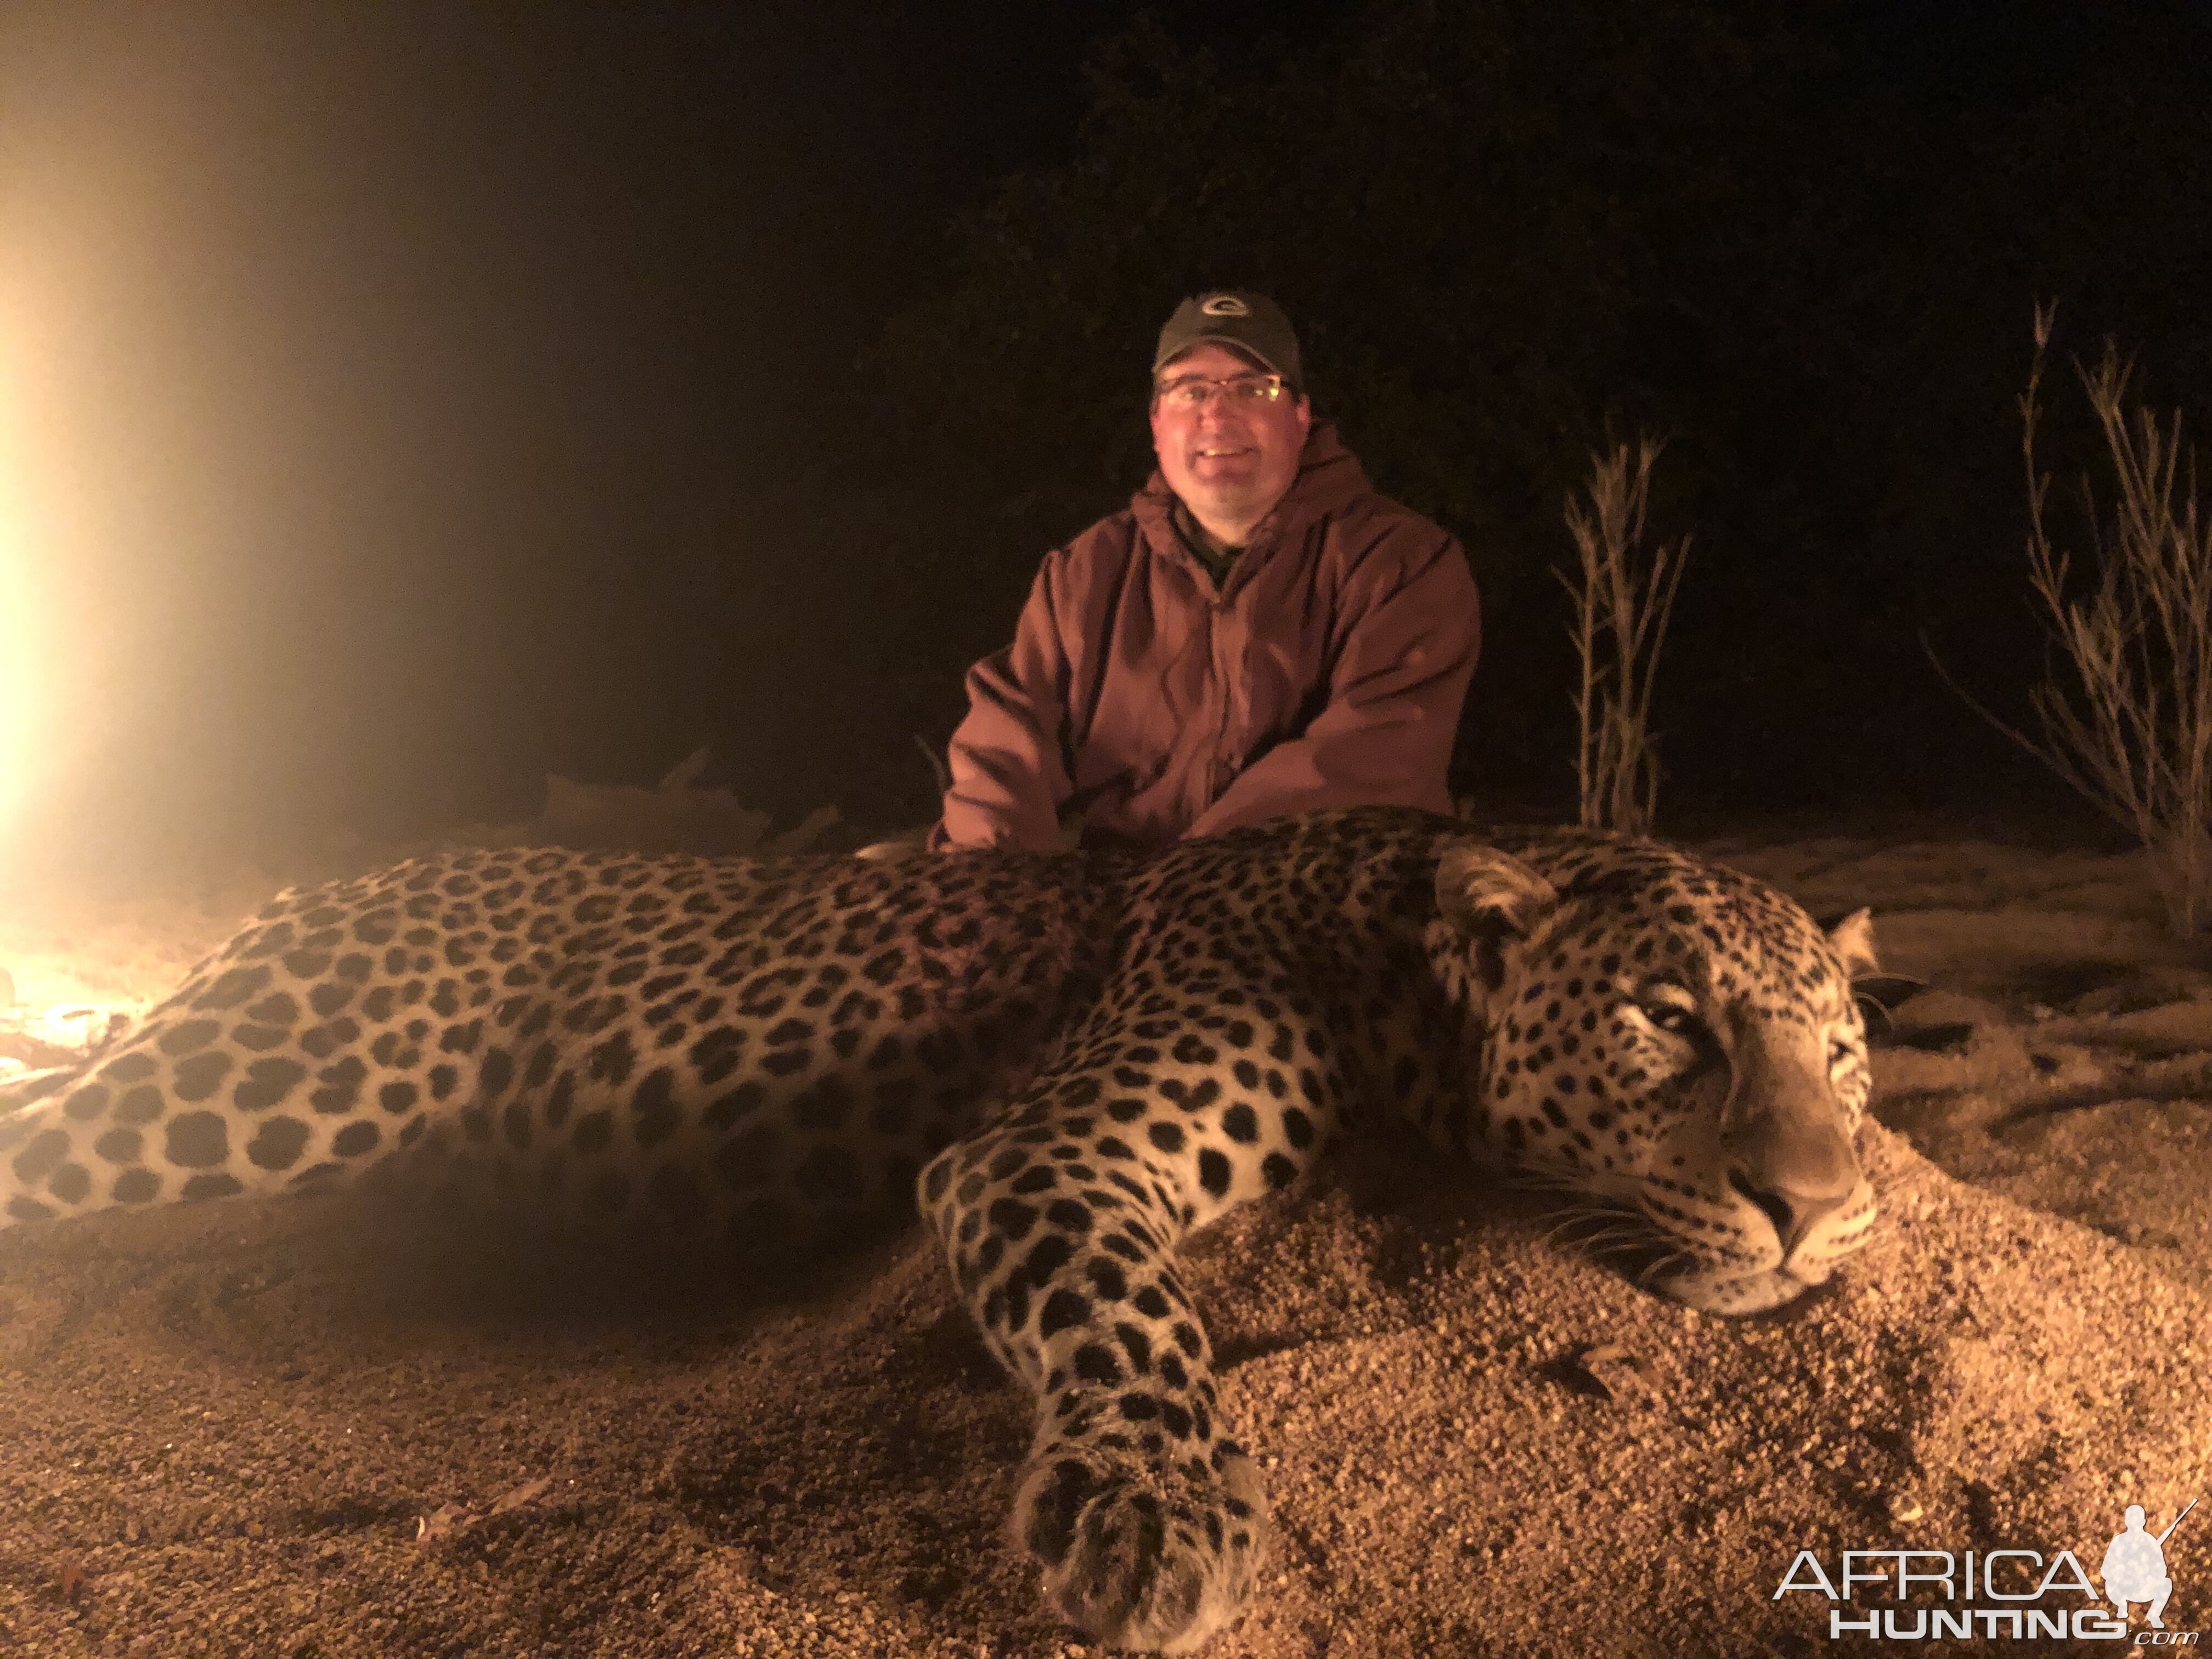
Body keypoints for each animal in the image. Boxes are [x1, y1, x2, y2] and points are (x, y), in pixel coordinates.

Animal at [0, 805, 1884, 1654]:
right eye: (1668, 1020)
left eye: (1844, 1050)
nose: (1818, 1205)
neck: (1397, 968)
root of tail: (337, 880)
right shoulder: (1050, 1147)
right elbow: (1133, 1315)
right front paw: (1159, 1508)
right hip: (279, 1079)